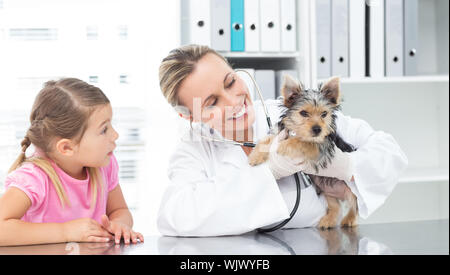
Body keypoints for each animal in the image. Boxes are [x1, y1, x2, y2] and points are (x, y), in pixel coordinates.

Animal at [250, 75, 358, 231]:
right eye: (303, 113)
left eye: (324, 114)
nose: (317, 129)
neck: (297, 132)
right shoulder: (281, 132)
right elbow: (269, 139)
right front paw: (256, 155)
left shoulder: (322, 147)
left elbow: (304, 143)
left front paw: (284, 145)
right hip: (327, 190)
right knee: (335, 205)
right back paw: (329, 220)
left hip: (350, 189)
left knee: (354, 203)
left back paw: (349, 218)